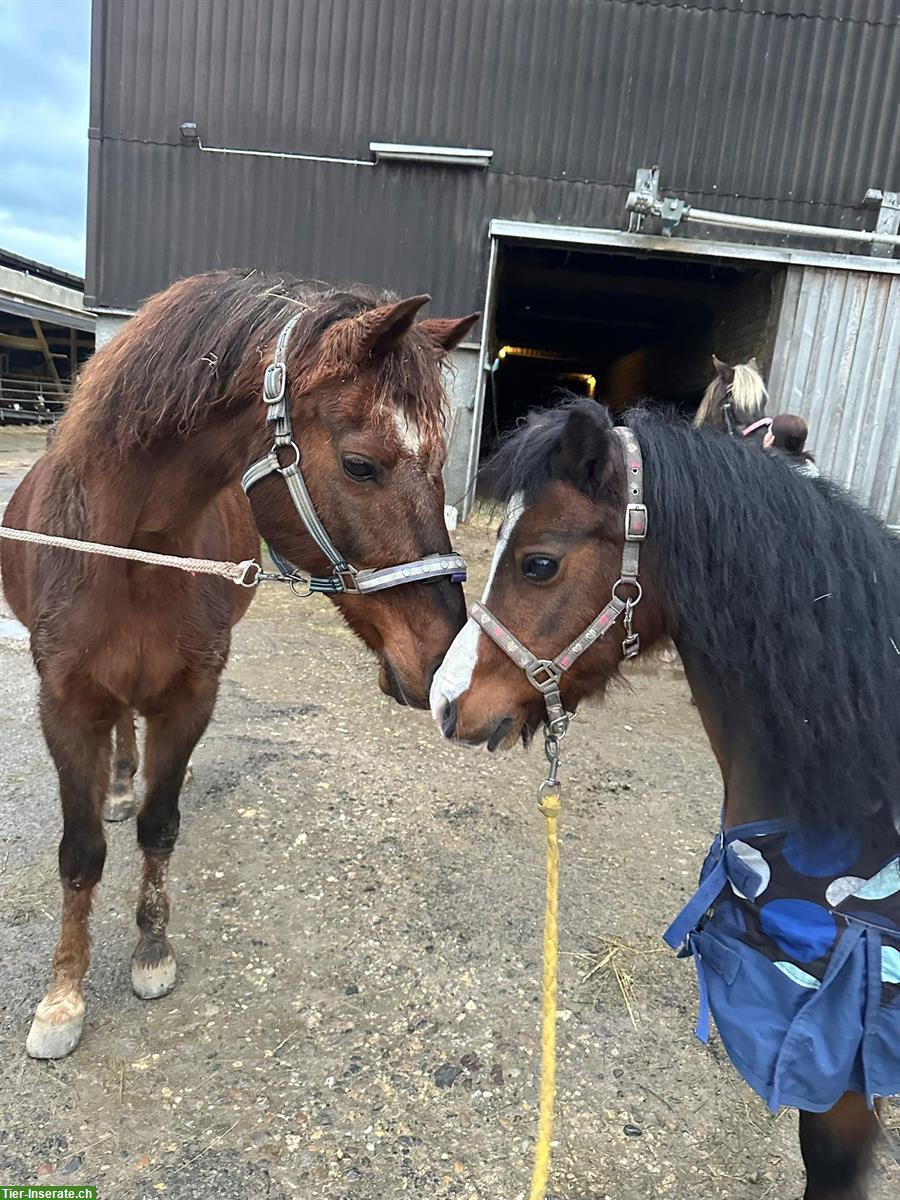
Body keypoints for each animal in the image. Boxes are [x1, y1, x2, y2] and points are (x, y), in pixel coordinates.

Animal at [1, 270, 480, 1060]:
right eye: (361, 466)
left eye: (443, 468)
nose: (447, 665)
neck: (131, 554)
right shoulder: (64, 707)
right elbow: (80, 852)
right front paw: (63, 996)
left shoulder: (192, 697)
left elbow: (160, 827)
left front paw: (152, 951)